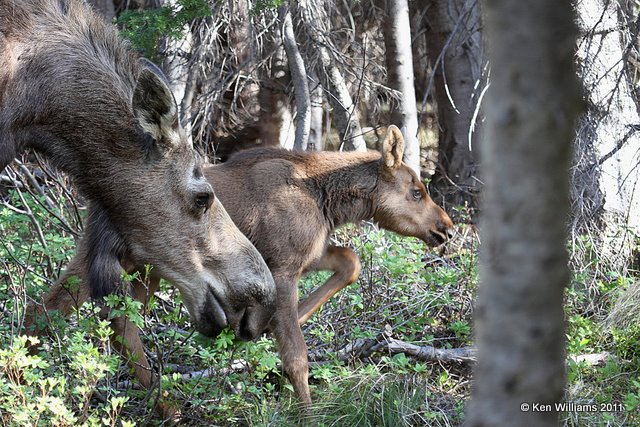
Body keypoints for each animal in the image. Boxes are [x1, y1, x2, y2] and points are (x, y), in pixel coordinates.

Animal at [46, 124, 456, 408]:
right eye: (416, 192)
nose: (447, 227)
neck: (328, 200)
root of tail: (96, 205)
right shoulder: (284, 267)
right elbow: (296, 357)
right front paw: (307, 411)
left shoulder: (309, 254)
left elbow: (350, 261)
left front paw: (264, 323)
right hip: (129, 264)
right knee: (69, 311)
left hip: (140, 269)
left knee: (105, 320)